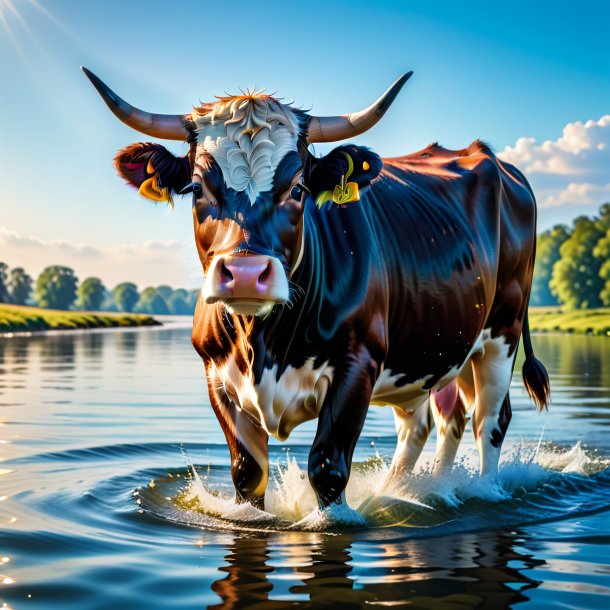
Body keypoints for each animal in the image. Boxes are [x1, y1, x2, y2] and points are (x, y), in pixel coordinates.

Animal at [83, 67, 548, 508]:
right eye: (197, 189)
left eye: (298, 189)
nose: (246, 272)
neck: (263, 345)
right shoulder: (216, 375)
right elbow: (247, 473)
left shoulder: (358, 364)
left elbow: (326, 469)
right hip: (442, 346)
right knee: (436, 420)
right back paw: (409, 491)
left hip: (501, 334)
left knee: (489, 420)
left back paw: (482, 491)